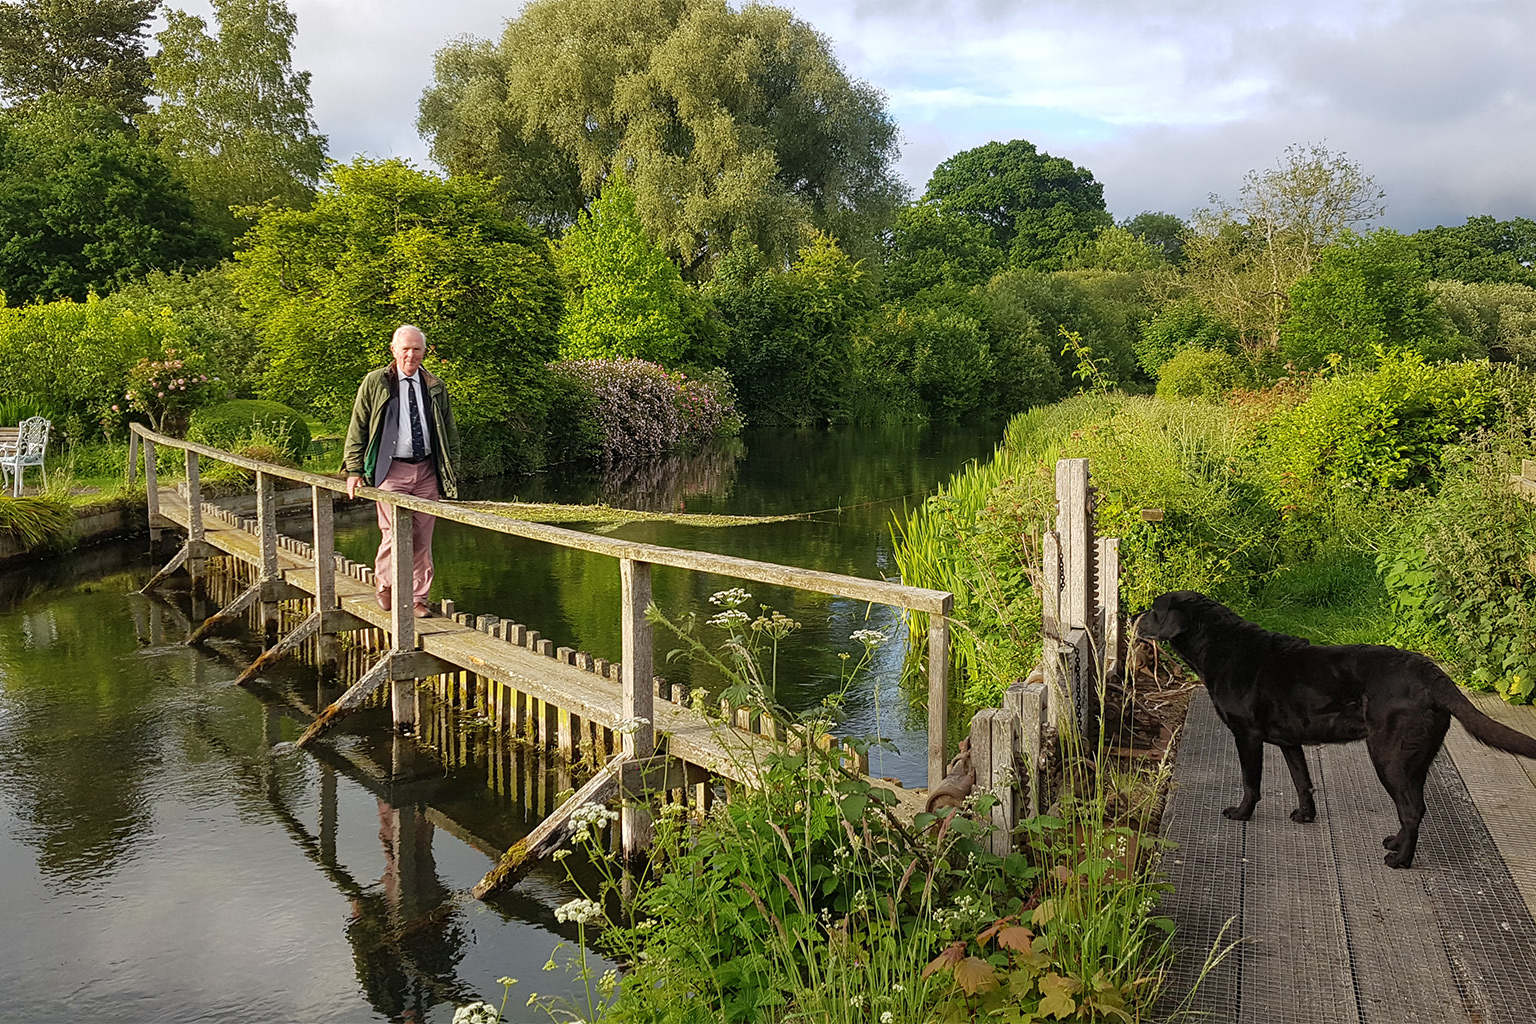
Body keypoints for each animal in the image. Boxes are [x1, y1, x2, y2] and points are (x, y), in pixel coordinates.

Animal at [1136, 589, 1536, 872]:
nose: (1136, 618)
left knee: (1411, 810)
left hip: (1389, 756)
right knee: (1414, 807)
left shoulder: (1246, 735)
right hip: (1414, 761)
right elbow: (1302, 781)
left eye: (1154, 610)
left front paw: (1241, 813)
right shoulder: (1289, 741)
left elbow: (1251, 783)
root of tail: (1433, 675)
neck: (1220, 645)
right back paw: (1395, 844)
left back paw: (1400, 860)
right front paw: (1306, 815)